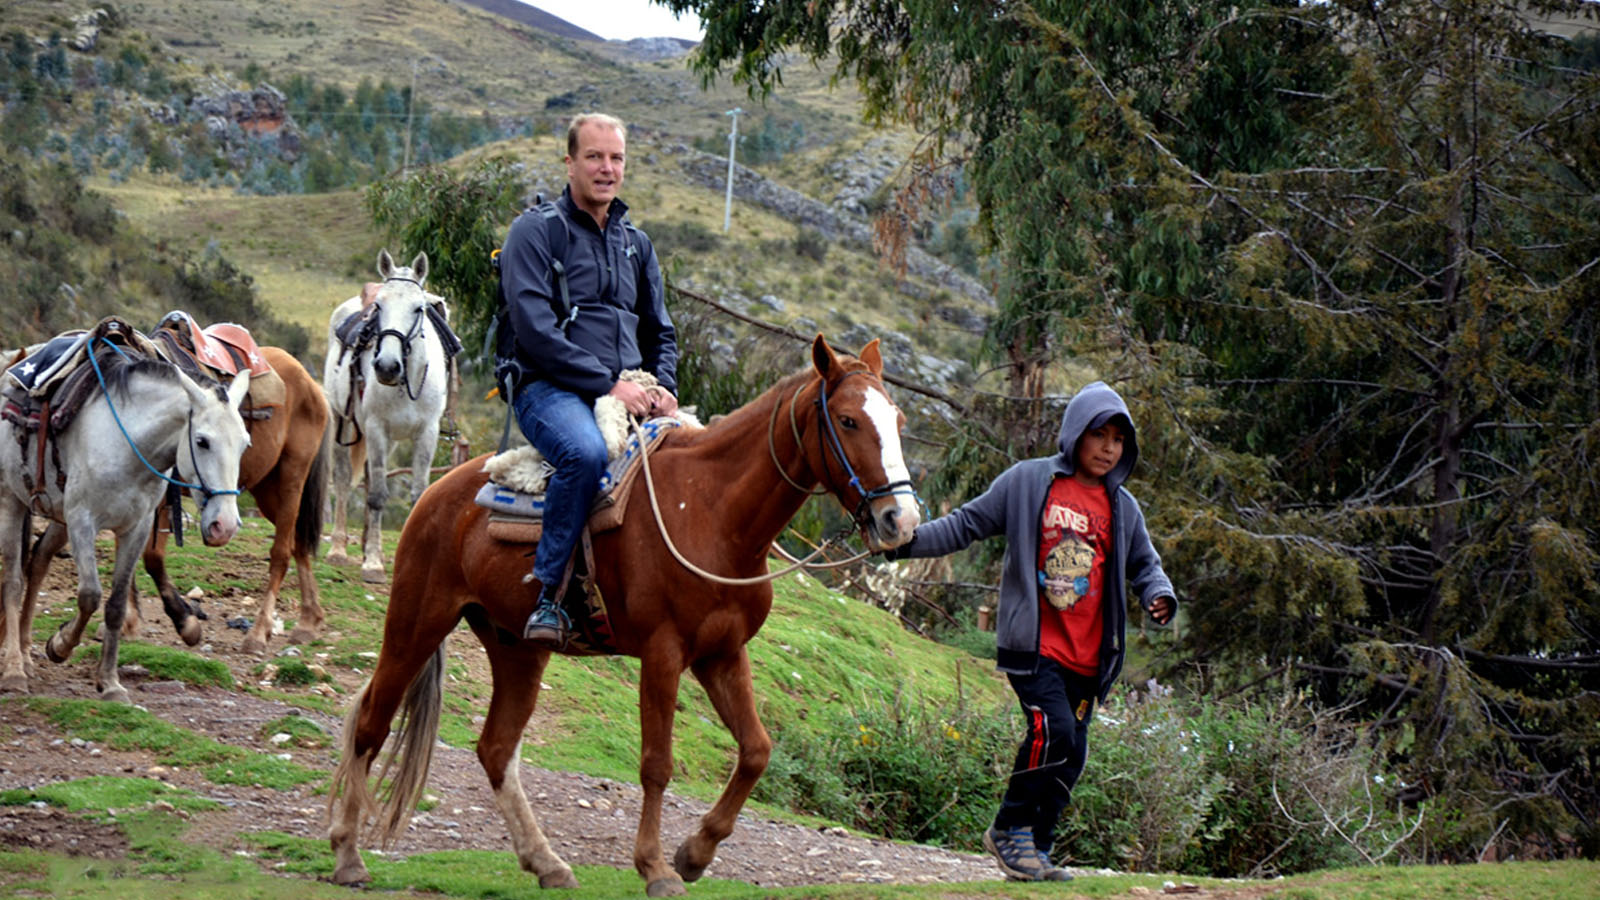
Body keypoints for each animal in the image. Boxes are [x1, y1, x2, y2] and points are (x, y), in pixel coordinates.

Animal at [0, 336, 248, 701]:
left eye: (245, 444)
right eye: (202, 441)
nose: (224, 526)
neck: (127, 444)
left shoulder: (136, 528)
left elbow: (116, 604)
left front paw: (110, 683)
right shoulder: (83, 521)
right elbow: (89, 595)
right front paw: (60, 645)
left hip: (56, 515)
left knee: (39, 560)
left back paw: (26, 654)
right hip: (12, 501)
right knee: (13, 580)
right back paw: (15, 669)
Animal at [323, 248, 451, 582]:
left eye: (419, 308)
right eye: (379, 306)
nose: (387, 367)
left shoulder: (427, 433)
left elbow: (418, 495)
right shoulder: (376, 427)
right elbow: (378, 495)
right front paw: (372, 565)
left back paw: (372, 545)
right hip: (343, 423)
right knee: (344, 480)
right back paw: (340, 549)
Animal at [326, 334, 921, 890]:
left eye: (898, 419)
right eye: (847, 420)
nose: (902, 520)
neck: (713, 510)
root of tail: (436, 495)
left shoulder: (722, 653)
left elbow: (757, 750)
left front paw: (695, 853)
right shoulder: (663, 652)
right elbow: (657, 764)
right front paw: (656, 867)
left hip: (516, 648)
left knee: (496, 748)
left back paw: (547, 863)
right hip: (416, 621)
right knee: (372, 723)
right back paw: (348, 853)